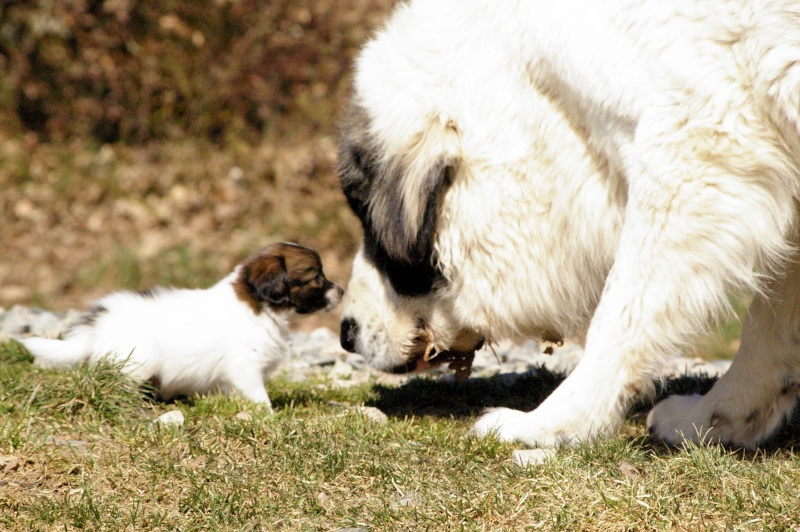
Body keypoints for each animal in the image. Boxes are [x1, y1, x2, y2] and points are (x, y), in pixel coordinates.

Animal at [20, 243, 342, 410]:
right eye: (316, 277)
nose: (341, 291)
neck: (260, 307)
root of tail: (98, 324)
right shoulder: (245, 367)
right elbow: (258, 396)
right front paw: (271, 415)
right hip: (138, 361)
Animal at [336, 0, 800, 448]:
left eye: (366, 217)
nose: (345, 335)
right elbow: (770, 330)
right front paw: (716, 418)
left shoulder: (695, 154)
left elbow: (621, 314)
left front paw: (554, 423)